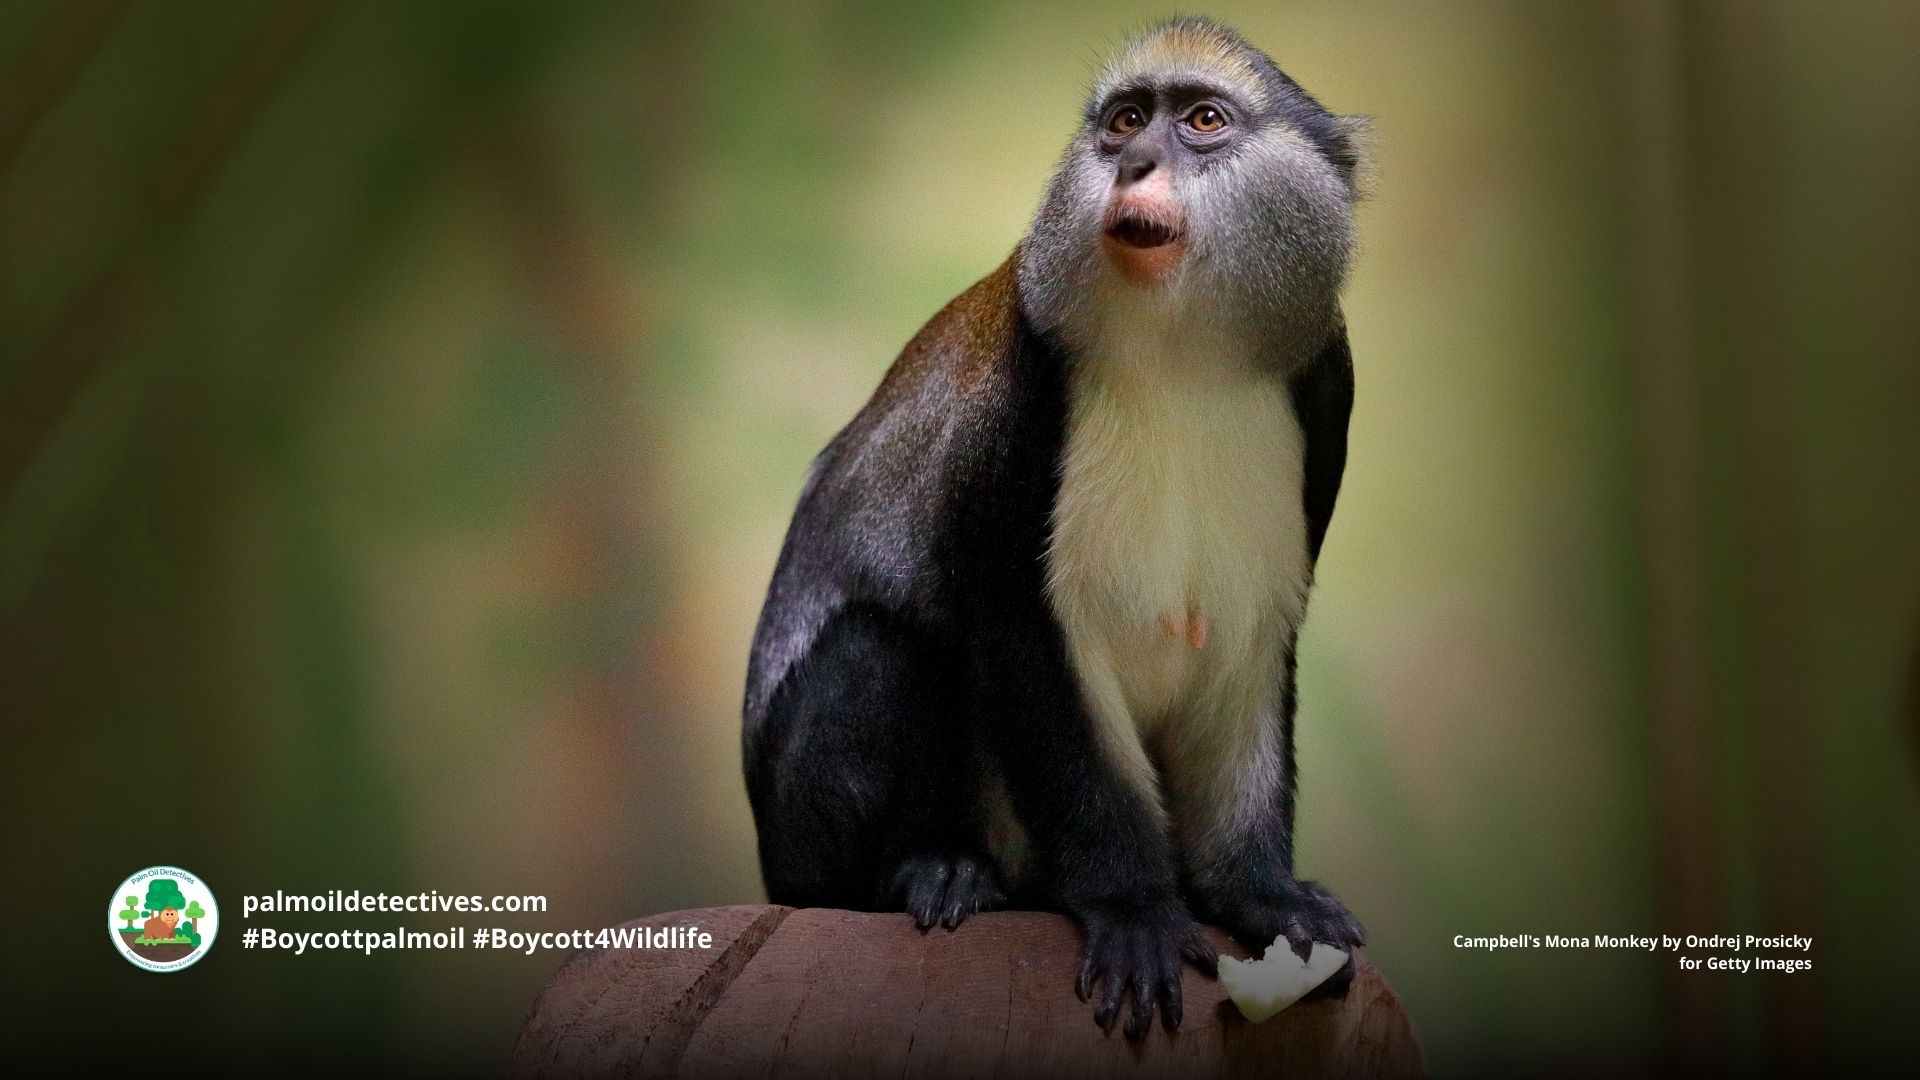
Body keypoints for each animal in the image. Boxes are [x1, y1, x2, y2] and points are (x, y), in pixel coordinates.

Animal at [743, 17, 1367, 1038]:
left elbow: (1249, 643)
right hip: (806, 845)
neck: (1182, 349)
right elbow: (1023, 635)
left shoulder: (1326, 379)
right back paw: (926, 870)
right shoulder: (1023, 391)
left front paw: (1262, 896)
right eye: (1124, 122)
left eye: (1202, 120)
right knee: (874, 647)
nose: (1135, 163)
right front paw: (1134, 908)